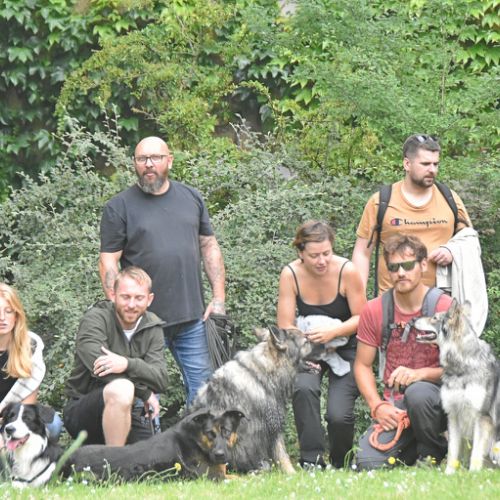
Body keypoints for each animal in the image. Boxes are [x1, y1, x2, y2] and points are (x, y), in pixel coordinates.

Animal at [63, 408, 244, 482]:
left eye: (227, 432)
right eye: (209, 433)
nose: (220, 455)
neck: (196, 440)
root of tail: (67, 459)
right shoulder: (214, 478)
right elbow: (242, 478)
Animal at [415, 299, 500, 473]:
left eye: (434, 318)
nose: (413, 319)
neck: (462, 367)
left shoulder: (481, 418)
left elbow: (476, 453)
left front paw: (473, 474)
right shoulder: (453, 415)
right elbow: (452, 451)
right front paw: (449, 474)